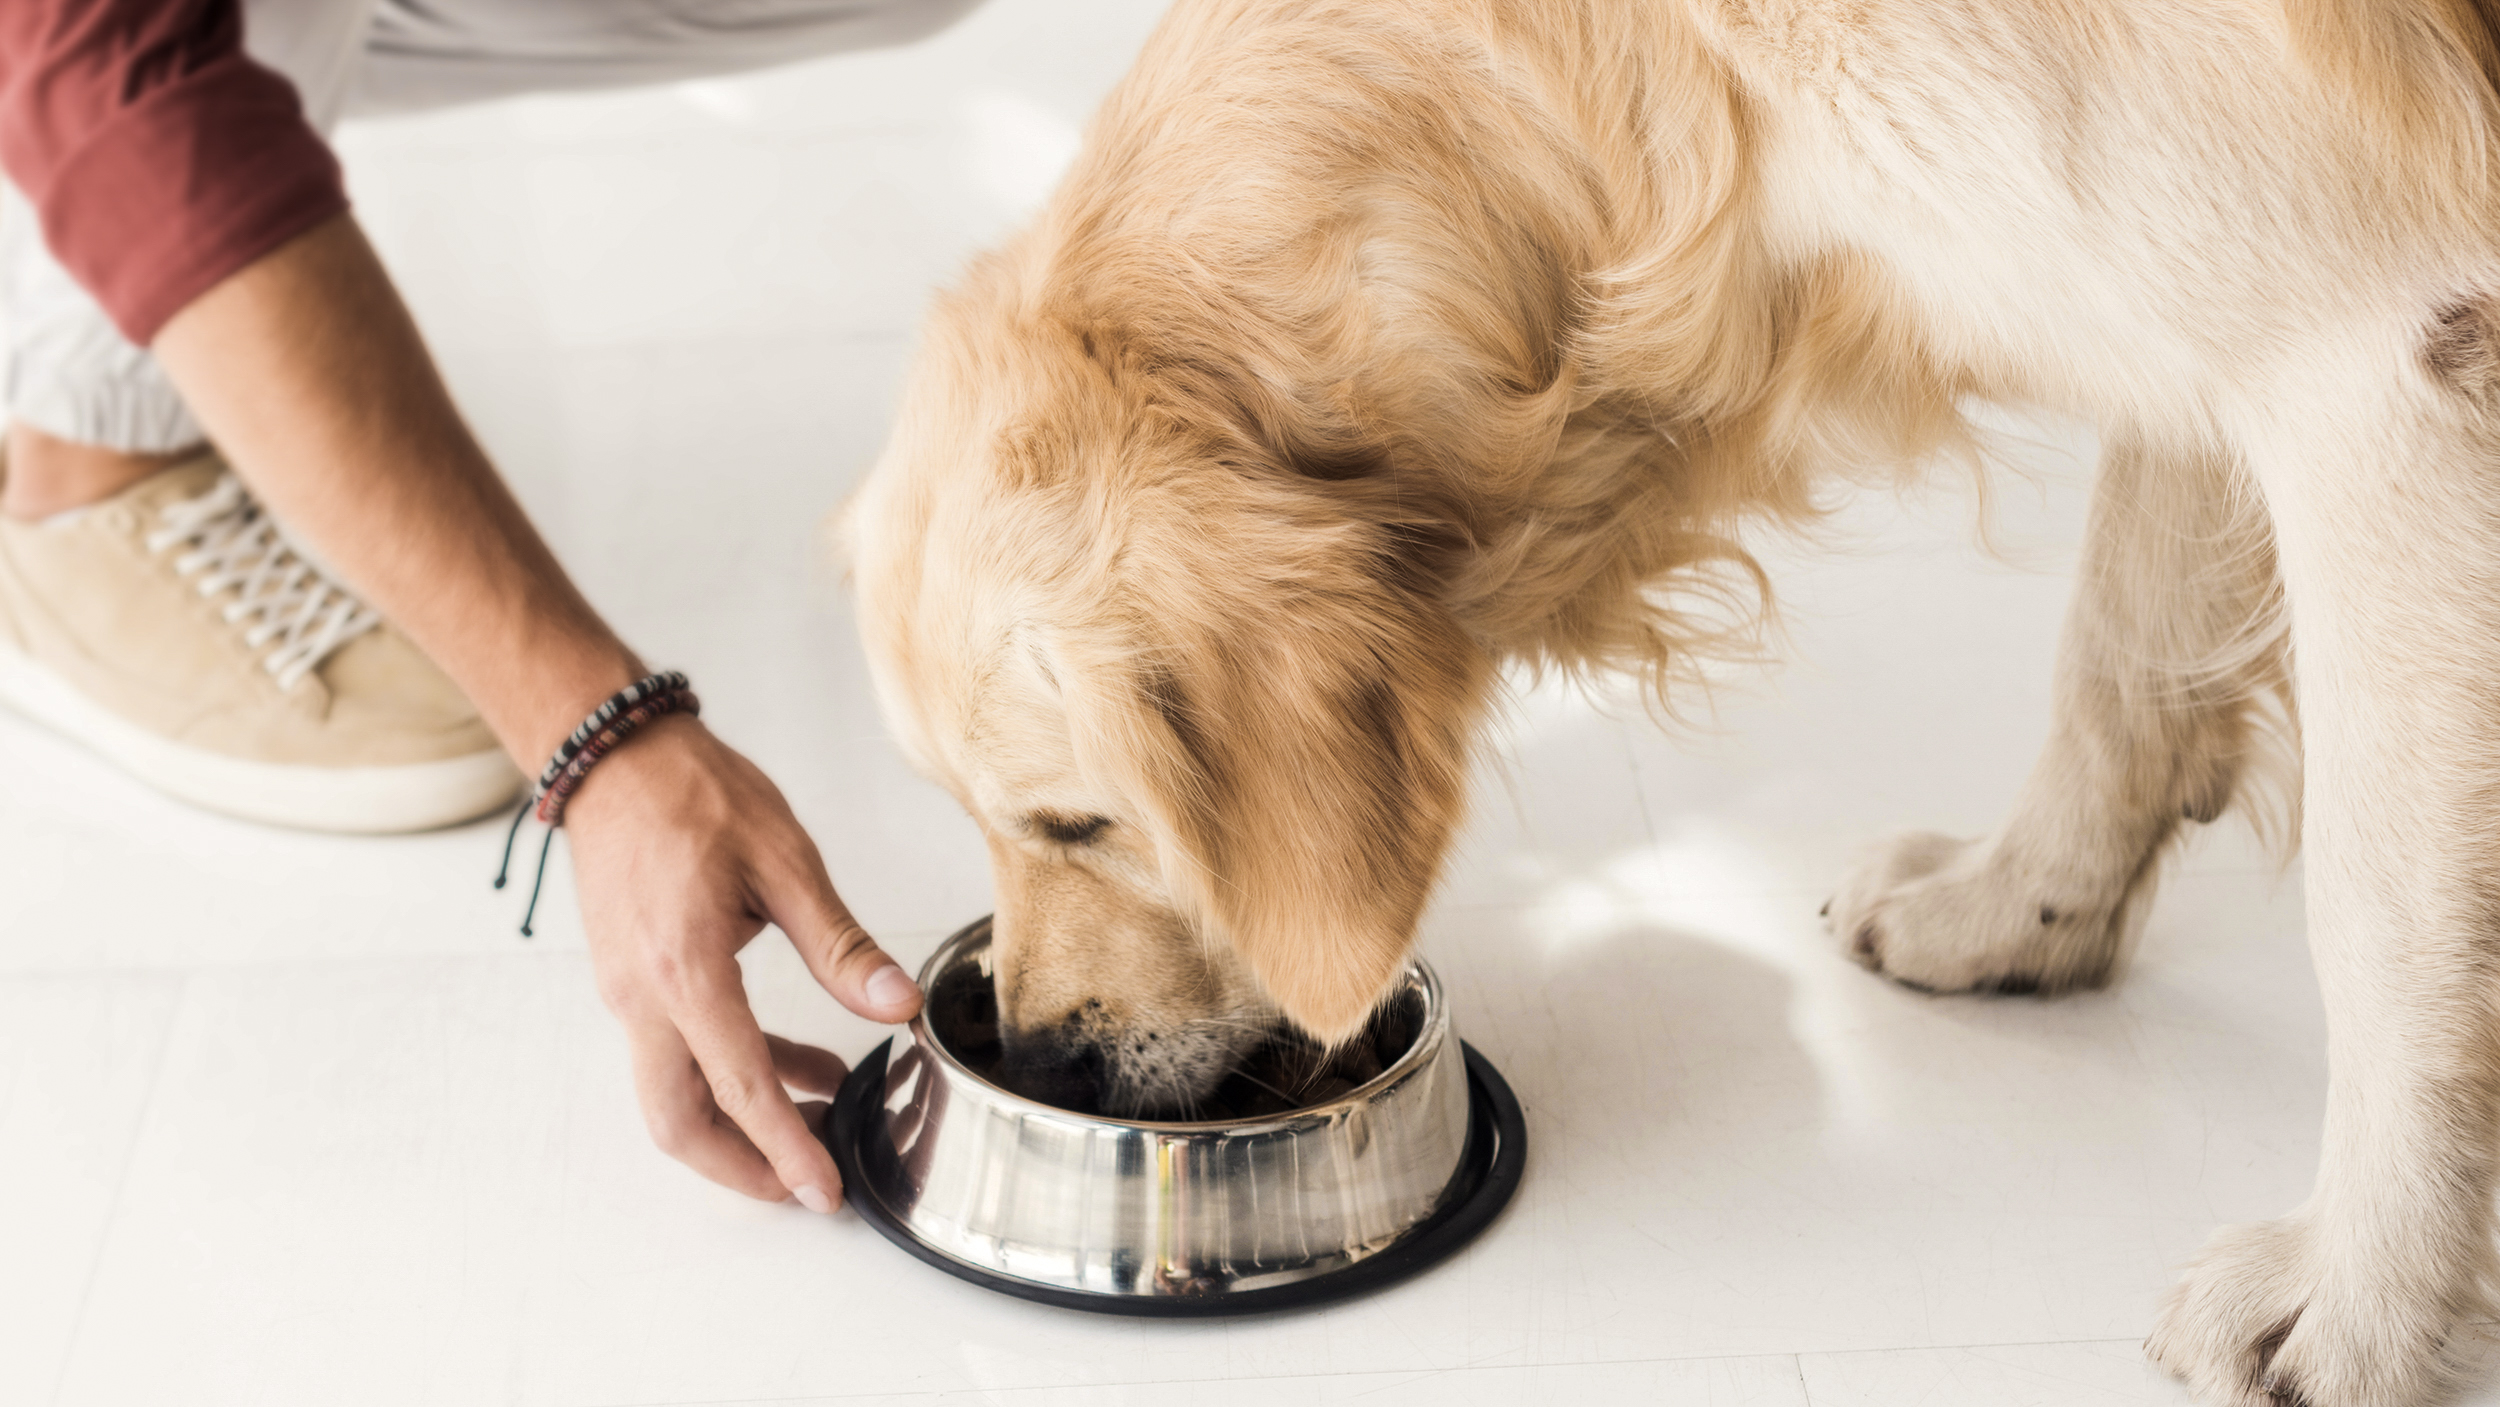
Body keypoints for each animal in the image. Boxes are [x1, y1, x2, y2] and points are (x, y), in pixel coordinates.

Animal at [840, 5, 2500, 1399]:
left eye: (1079, 821)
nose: (1039, 1057)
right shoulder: (2197, 306)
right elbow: (2120, 643)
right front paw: (2023, 907)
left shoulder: (2391, 339)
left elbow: (2380, 913)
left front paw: (2358, 1300)